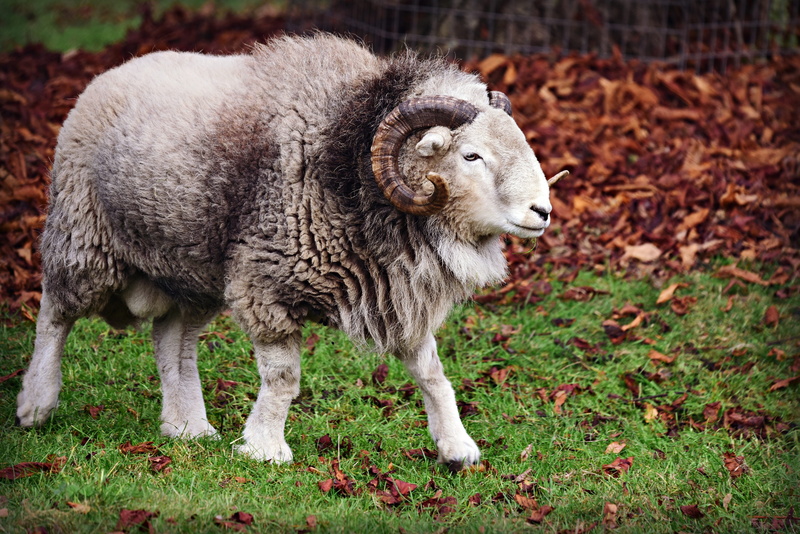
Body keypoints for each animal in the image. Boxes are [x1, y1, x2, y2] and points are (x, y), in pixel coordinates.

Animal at [16, 34, 563, 470]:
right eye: (471, 155)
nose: (542, 211)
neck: (351, 160)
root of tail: (111, 72)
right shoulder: (265, 285)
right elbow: (284, 378)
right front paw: (264, 448)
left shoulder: (394, 292)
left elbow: (432, 373)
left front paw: (457, 448)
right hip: (84, 239)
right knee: (55, 313)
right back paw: (36, 405)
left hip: (192, 269)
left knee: (173, 340)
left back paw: (187, 426)